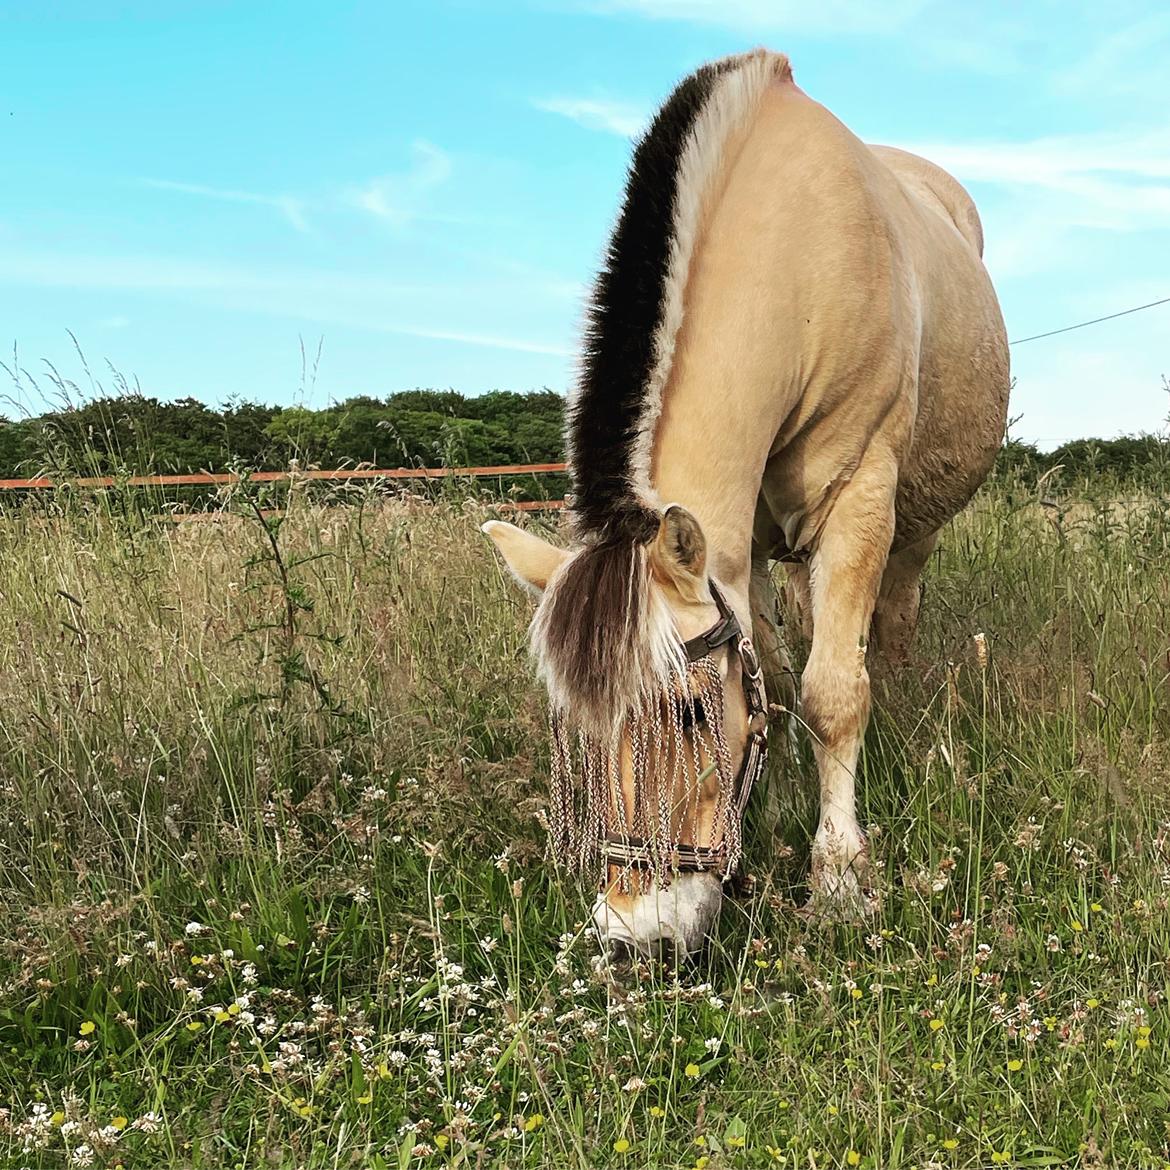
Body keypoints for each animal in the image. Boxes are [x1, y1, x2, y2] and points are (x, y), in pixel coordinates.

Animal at [482, 50, 1006, 954]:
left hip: (912, 526)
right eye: (578, 731)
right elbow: (779, 679)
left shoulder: (860, 497)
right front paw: (781, 801)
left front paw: (839, 877)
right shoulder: (743, 545)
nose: (637, 936)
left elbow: (834, 693)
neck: (798, 252)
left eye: (692, 715)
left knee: (891, 625)